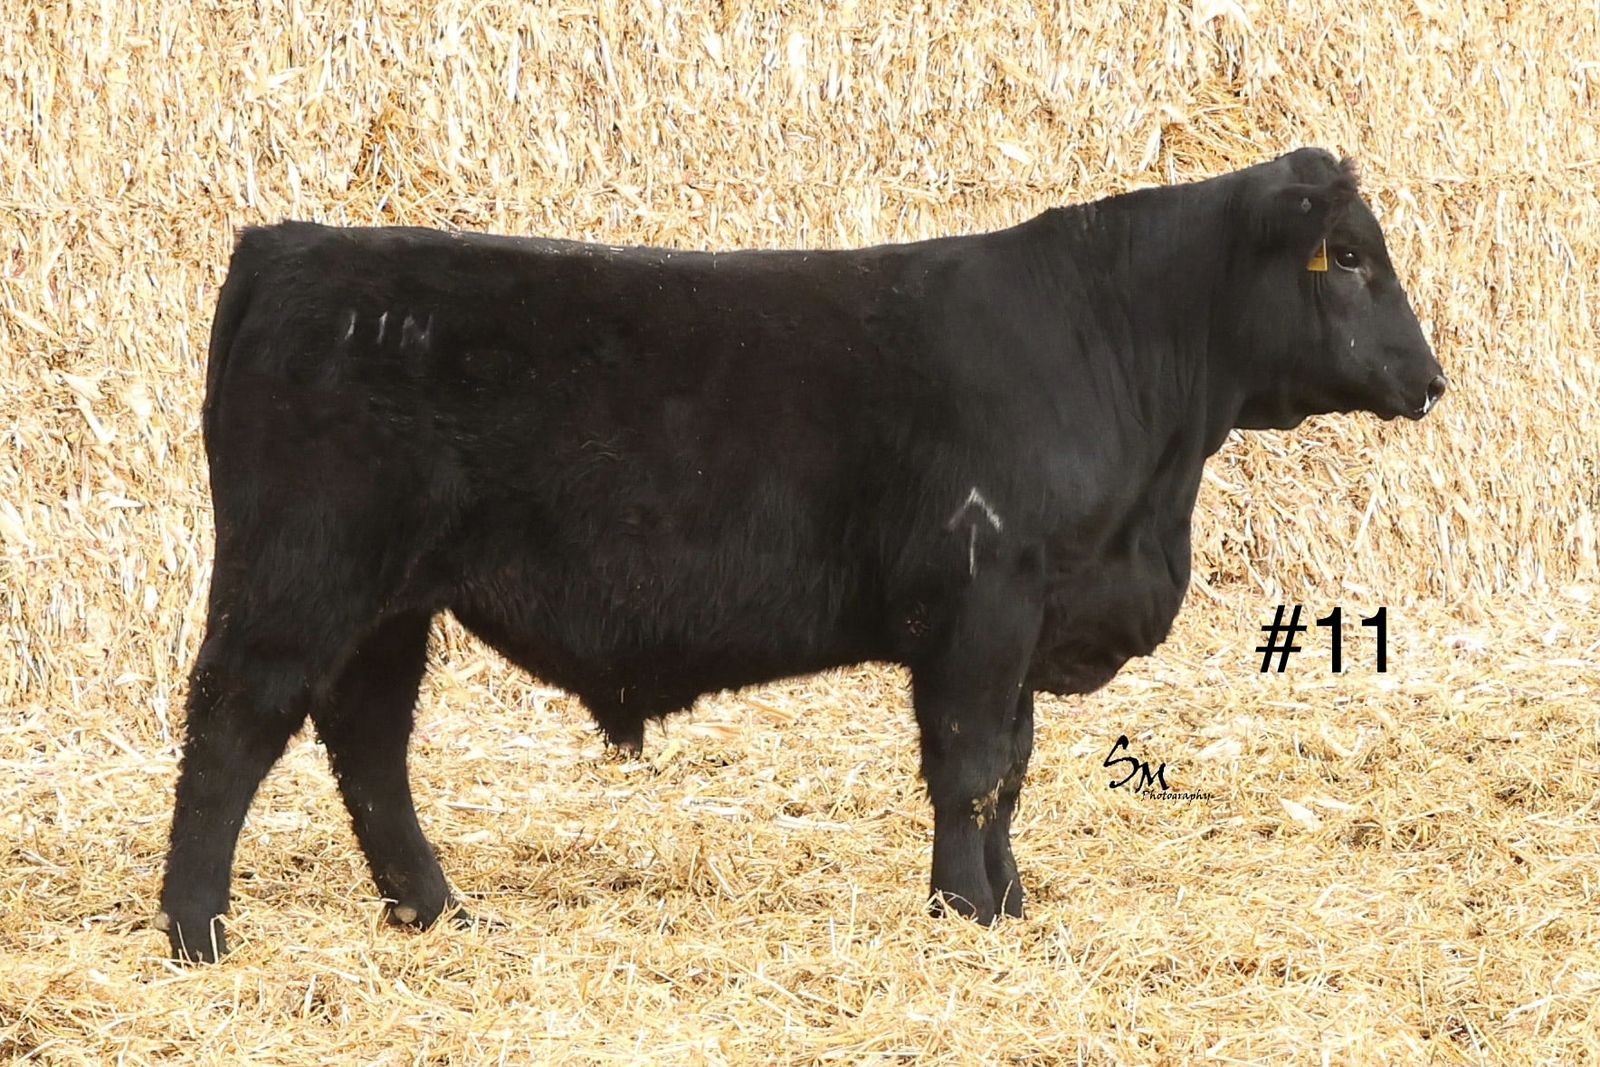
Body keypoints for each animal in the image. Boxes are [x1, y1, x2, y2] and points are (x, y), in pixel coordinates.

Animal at [157, 147, 1446, 961]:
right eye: (1349, 258)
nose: (1429, 380)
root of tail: (289, 247)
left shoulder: (1026, 616)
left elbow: (1013, 768)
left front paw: (1010, 902)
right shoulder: (983, 601)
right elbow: (971, 765)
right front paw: (965, 911)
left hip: (388, 601)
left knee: (366, 739)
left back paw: (434, 911)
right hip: (301, 574)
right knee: (234, 722)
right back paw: (196, 930)